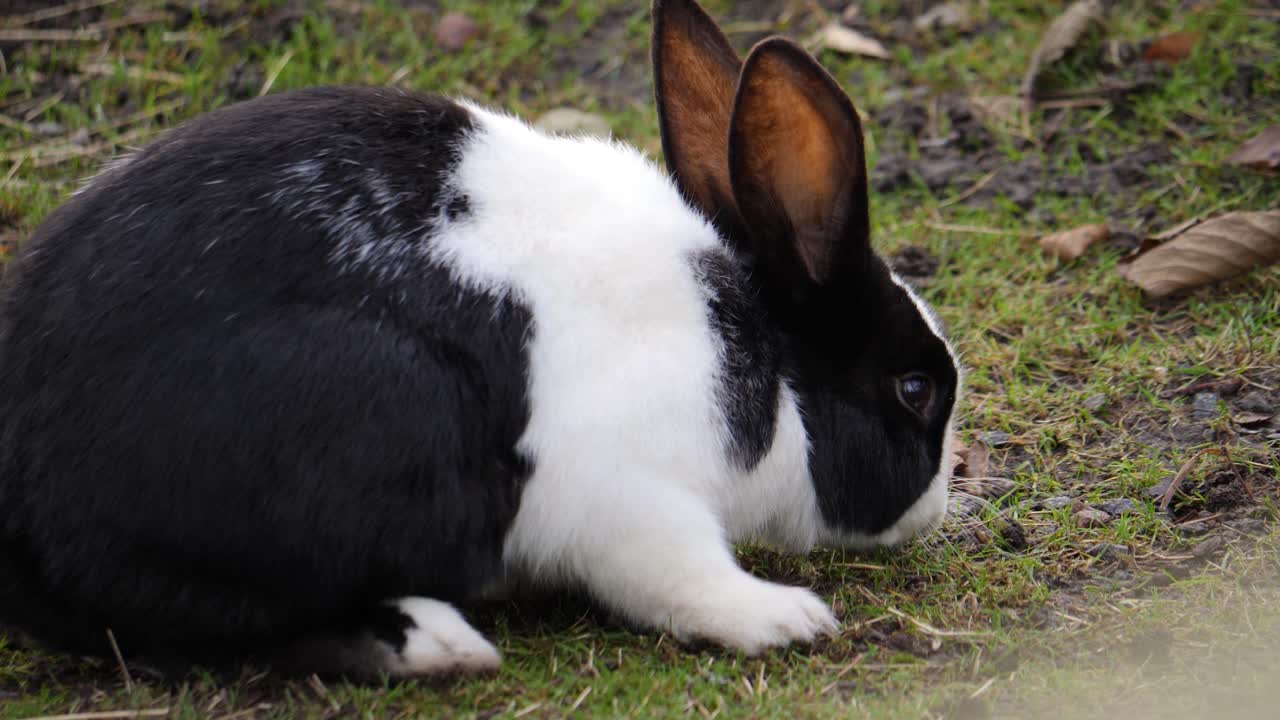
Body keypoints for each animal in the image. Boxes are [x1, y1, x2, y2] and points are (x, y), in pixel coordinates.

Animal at [0, 0, 959, 681]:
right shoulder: (633, 500)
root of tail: (26, 516)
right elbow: (680, 576)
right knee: (208, 625)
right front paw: (783, 617)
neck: (762, 361)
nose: (940, 503)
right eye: (915, 391)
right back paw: (434, 644)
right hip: (364, 422)